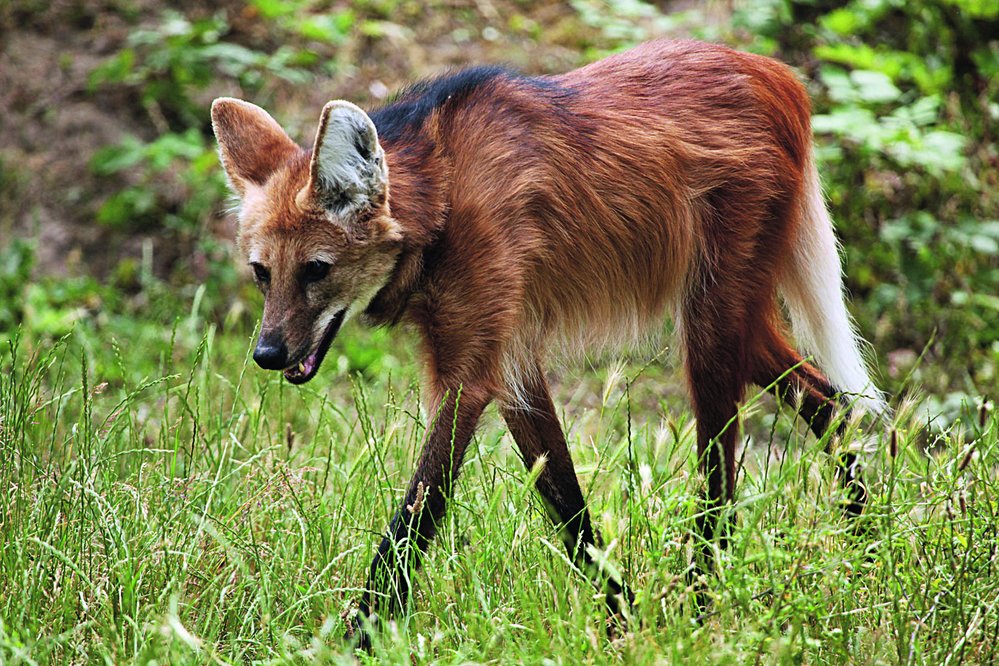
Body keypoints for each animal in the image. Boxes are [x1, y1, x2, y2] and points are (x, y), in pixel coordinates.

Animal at [209, 39, 884, 640]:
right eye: (262, 273)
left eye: (316, 270)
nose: (267, 354)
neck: (442, 201)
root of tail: (779, 75)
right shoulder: (510, 364)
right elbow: (568, 507)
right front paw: (624, 622)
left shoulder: (471, 375)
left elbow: (416, 516)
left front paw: (354, 638)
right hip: (731, 317)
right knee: (830, 403)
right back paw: (868, 553)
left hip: (710, 323)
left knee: (720, 475)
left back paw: (701, 610)